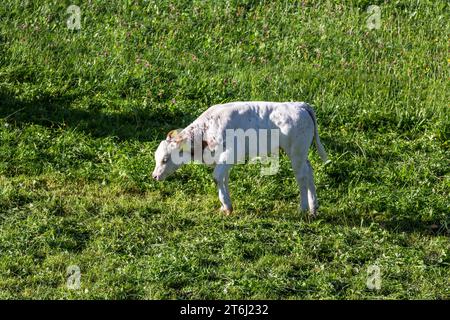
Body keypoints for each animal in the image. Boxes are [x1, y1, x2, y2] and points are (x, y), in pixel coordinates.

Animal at [151, 101, 326, 216]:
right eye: (156, 158)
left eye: (165, 159)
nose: (154, 176)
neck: (206, 132)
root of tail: (299, 105)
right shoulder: (223, 160)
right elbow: (223, 179)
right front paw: (226, 206)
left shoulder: (230, 153)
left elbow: (216, 177)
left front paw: (227, 206)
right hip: (302, 154)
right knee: (309, 171)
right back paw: (313, 208)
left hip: (296, 152)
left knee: (301, 177)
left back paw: (303, 208)